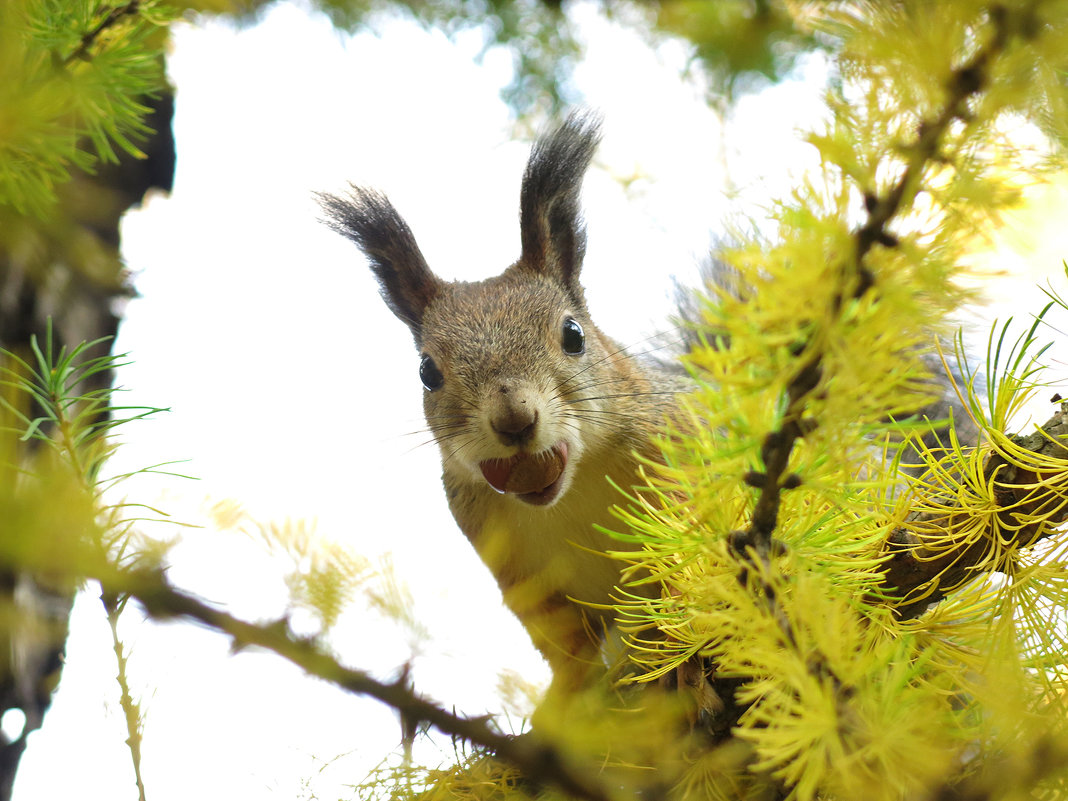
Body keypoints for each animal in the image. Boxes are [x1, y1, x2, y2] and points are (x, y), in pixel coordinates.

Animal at [320, 111, 679, 692]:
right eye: (426, 372)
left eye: (574, 335)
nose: (514, 419)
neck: (567, 498)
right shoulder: (520, 574)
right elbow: (569, 651)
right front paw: (565, 702)